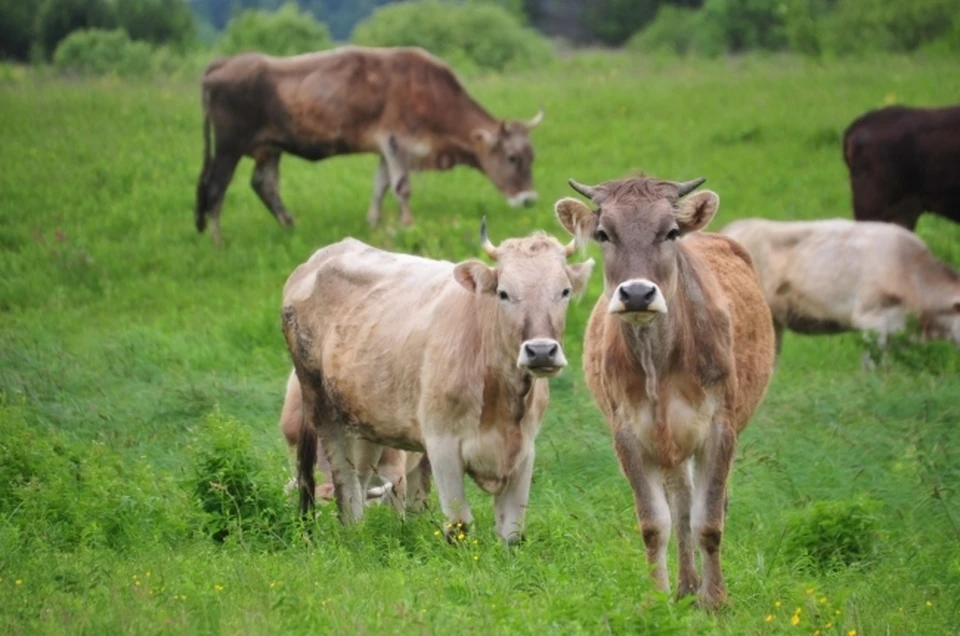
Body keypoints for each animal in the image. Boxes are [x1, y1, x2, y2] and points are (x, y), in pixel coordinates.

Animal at [193, 44, 548, 243]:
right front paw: (408, 225)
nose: (529, 199)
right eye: (513, 157)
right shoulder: (396, 142)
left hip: (269, 148)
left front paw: (374, 224)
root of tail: (225, 62)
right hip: (228, 146)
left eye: (532, 156)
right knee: (215, 188)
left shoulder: (384, 148)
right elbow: (402, 187)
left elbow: (380, 186)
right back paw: (217, 241)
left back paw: (290, 227)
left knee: (264, 184)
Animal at [556, 175, 780, 612]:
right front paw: (658, 598)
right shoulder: (628, 432)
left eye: (671, 232)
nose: (637, 293)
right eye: (604, 233)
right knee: (680, 502)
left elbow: (709, 521)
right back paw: (685, 585)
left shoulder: (719, 427)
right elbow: (655, 523)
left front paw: (716, 601)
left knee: (701, 505)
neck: (658, 365)